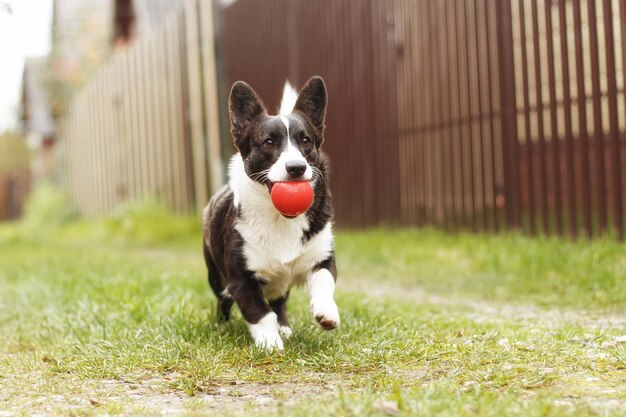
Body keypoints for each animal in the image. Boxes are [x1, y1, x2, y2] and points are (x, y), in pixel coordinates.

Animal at [202, 76, 338, 350]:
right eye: (269, 142)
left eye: (305, 141)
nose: (296, 168)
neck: (280, 218)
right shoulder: (241, 280)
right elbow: (260, 312)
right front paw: (270, 344)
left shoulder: (322, 257)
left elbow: (324, 281)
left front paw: (326, 313)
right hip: (216, 276)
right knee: (224, 301)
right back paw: (222, 326)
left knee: (279, 302)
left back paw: (285, 328)